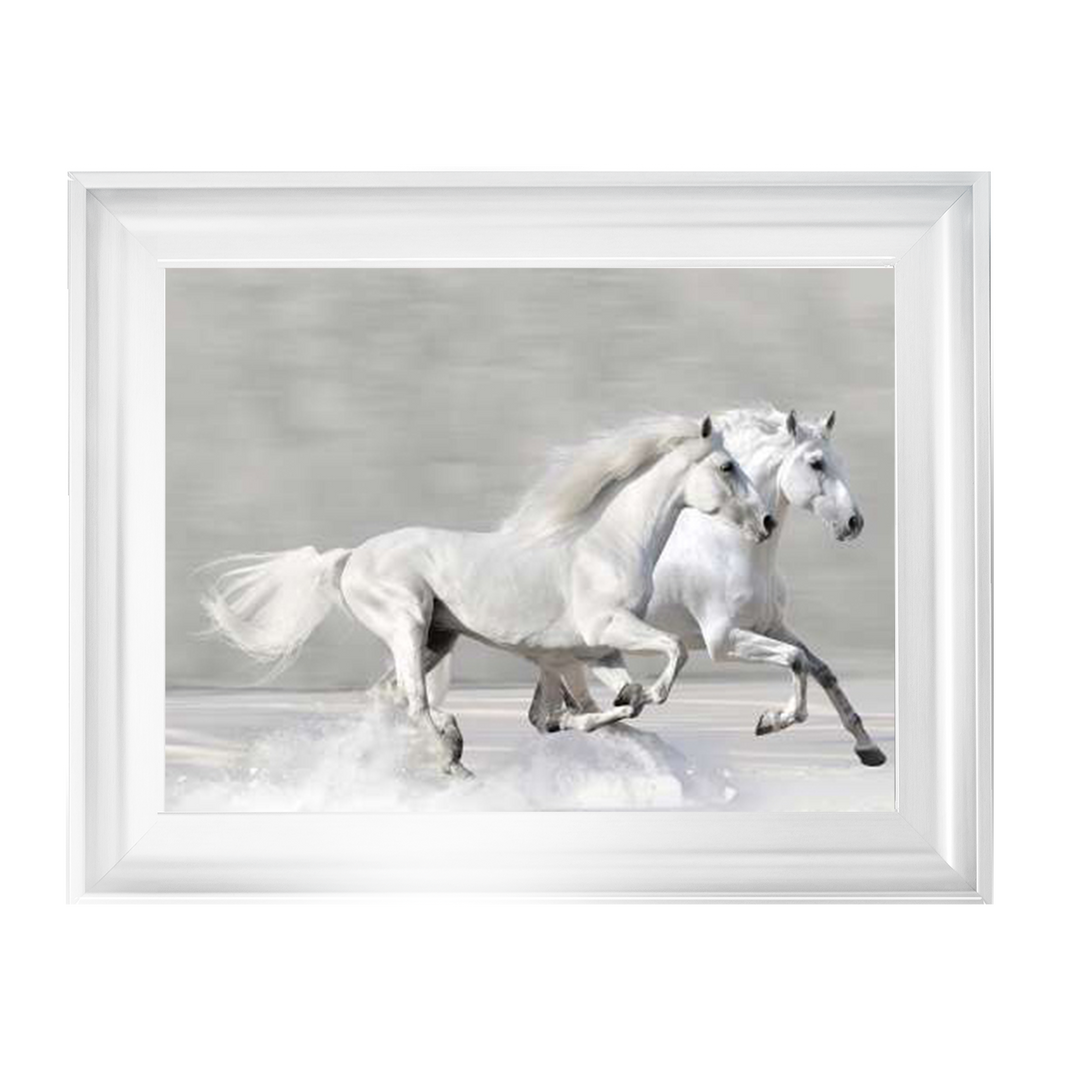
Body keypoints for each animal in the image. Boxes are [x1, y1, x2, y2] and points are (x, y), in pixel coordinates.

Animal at [201, 415, 772, 774]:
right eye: (726, 466)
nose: (766, 521)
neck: (608, 544)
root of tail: (349, 558)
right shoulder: (607, 631)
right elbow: (669, 657)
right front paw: (637, 699)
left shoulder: (597, 651)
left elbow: (601, 706)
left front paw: (612, 709)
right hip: (408, 624)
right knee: (414, 701)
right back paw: (452, 753)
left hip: (438, 638)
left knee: (390, 698)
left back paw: (447, 752)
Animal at [518, 406, 887, 766]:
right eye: (816, 463)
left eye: (840, 461)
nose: (853, 522)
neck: (731, 547)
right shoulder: (723, 640)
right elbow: (795, 660)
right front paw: (770, 721)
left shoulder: (771, 626)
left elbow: (821, 670)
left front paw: (868, 748)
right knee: (554, 713)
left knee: (544, 714)